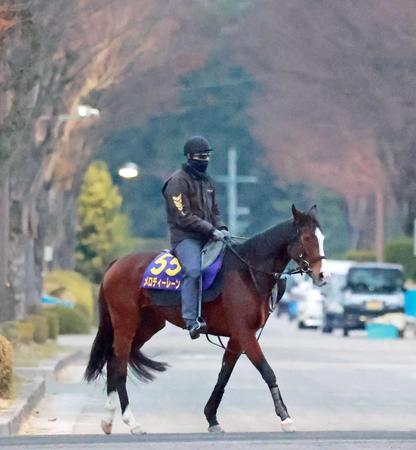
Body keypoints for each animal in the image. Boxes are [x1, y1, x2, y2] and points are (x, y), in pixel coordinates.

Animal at [84, 206, 328, 434]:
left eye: (322, 238)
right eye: (307, 238)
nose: (323, 275)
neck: (248, 271)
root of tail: (116, 263)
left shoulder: (237, 338)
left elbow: (224, 375)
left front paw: (212, 417)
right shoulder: (245, 333)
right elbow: (267, 371)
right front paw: (285, 417)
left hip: (148, 325)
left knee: (113, 360)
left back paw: (108, 420)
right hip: (125, 322)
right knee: (119, 366)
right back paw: (131, 422)